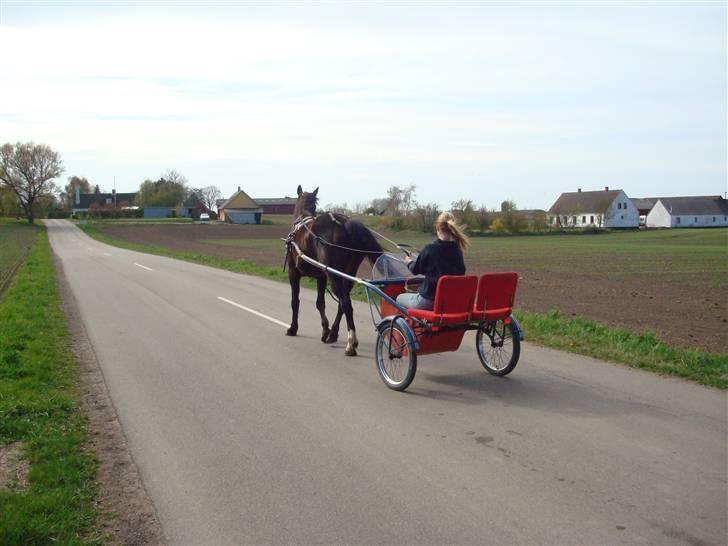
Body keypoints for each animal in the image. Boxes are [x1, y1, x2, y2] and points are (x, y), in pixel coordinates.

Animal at [286, 185, 384, 354]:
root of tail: (343, 223)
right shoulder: (321, 276)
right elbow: (320, 303)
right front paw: (326, 330)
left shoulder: (294, 273)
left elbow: (295, 301)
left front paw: (293, 328)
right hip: (346, 274)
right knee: (343, 302)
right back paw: (334, 333)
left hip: (333, 274)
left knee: (346, 304)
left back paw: (351, 342)